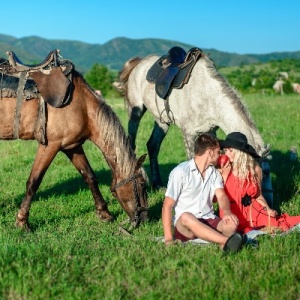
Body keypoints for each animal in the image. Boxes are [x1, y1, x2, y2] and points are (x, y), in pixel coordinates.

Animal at [0, 50, 148, 231]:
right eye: (142, 184)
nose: (145, 219)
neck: (82, 105)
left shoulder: (72, 146)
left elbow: (90, 176)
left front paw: (105, 214)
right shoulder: (50, 145)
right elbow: (33, 182)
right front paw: (22, 221)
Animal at [116, 47, 274, 206]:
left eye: (267, 172)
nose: (268, 203)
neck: (208, 95)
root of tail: (138, 62)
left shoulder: (211, 131)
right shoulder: (189, 133)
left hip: (162, 121)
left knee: (153, 146)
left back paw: (158, 184)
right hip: (135, 112)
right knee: (132, 141)